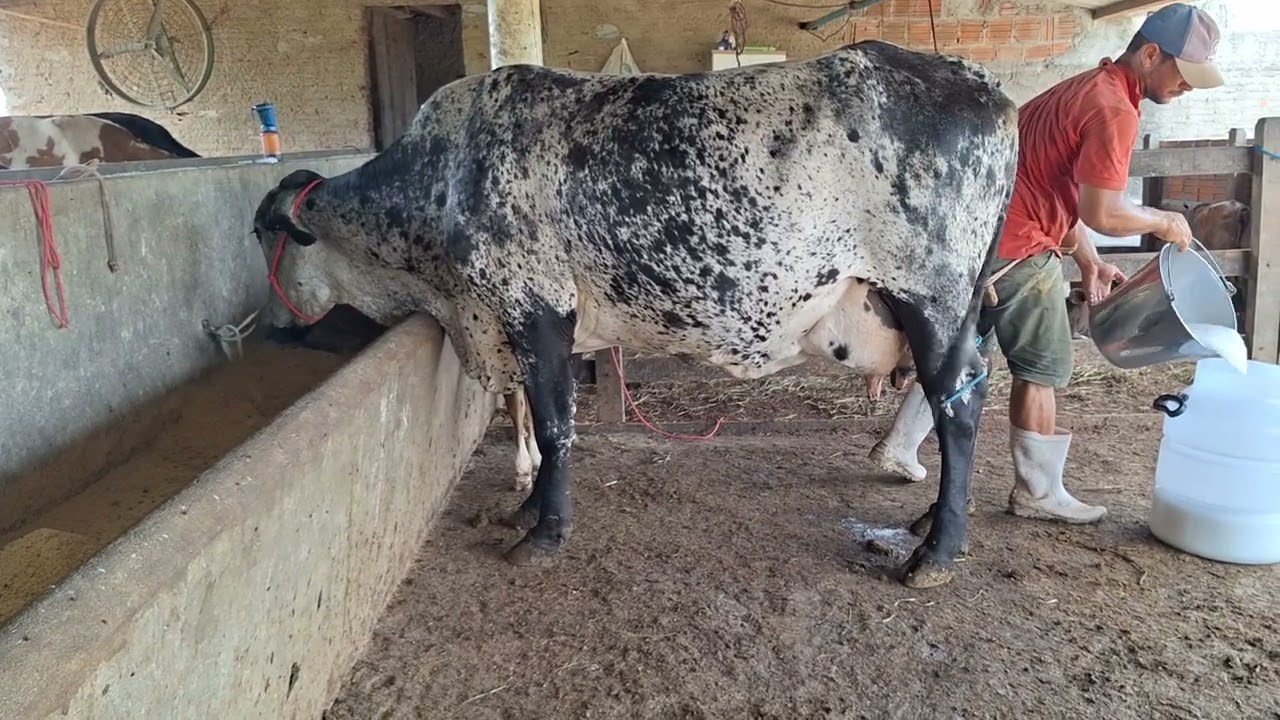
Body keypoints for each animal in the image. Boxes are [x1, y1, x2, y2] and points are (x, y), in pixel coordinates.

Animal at [248, 40, 1020, 589]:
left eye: (264, 235)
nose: (272, 328)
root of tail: (989, 89)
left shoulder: (537, 307)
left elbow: (555, 425)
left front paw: (543, 533)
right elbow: (538, 418)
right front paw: (526, 507)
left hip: (932, 300)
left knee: (958, 408)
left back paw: (936, 554)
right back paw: (929, 522)